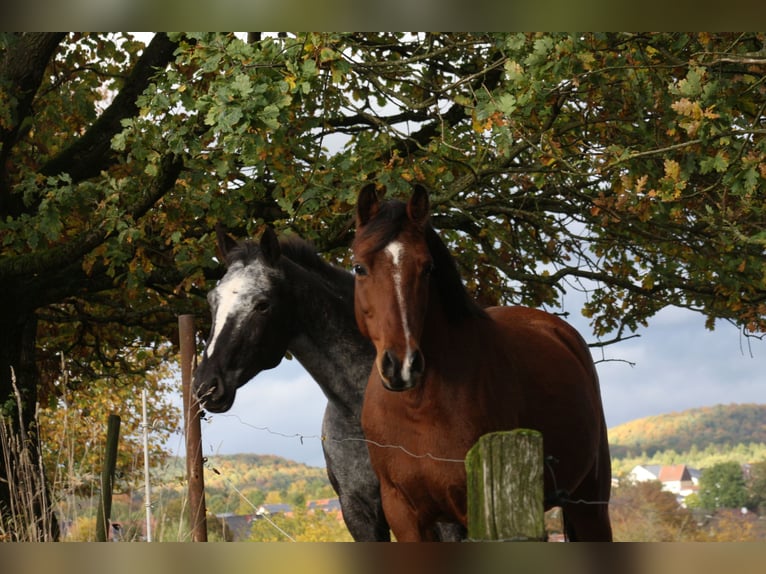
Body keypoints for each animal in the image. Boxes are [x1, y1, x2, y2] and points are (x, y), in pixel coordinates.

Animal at [351, 183, 613, 542]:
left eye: (427, 268)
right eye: (359, 268)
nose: (402, 365)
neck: (418, 408)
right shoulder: (403, 514)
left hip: (590, 506)